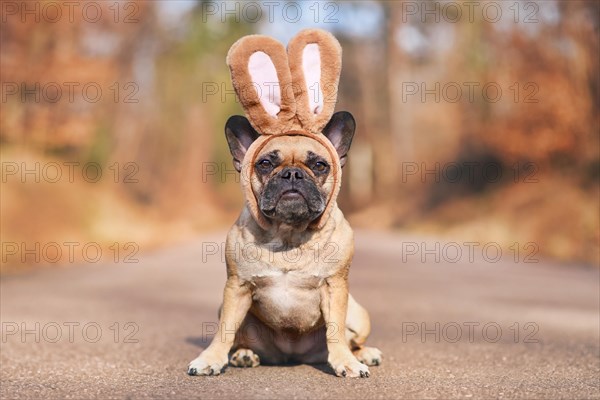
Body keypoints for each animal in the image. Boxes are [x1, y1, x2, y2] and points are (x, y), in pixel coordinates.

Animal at [190, 28, 382, 378]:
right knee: (239, 337)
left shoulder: (336, 288)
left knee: (352, 339)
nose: (292, 173)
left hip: (359, 314)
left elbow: (336, 331)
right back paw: (244, 355)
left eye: (319, 165)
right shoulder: (236, 288)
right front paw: (210, 359)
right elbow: (224, 331)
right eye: (265, 163)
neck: (289, 236)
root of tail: (293, 356)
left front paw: (347, 363)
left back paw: (364, 354)